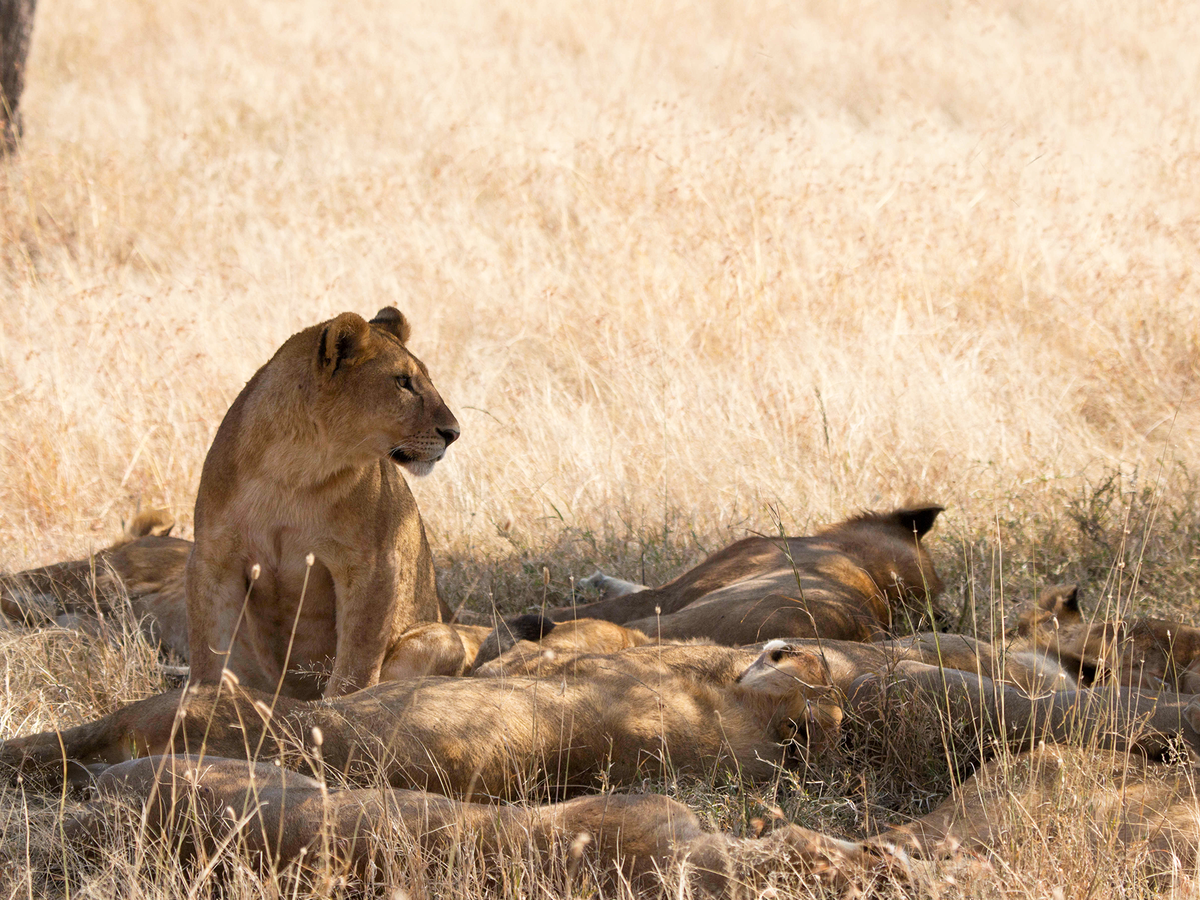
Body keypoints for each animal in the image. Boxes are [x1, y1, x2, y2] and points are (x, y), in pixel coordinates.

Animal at [184, 307, 460, 699]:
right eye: (403, 382)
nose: (454, 433)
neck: (291, 471)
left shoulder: (372, 565)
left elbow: (356, 663)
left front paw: (338, 708)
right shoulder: (213, 557)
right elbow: (207, 648)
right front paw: (201, 703)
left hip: (441, 636)